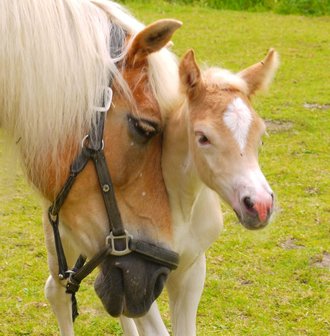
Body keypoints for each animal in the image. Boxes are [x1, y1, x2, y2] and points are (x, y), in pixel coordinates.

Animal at [120, 48, 280, 334]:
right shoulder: (138, 278)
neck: (180, 209)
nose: (260, 206)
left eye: (261, 136)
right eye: (203, 137)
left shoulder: (192, 270)